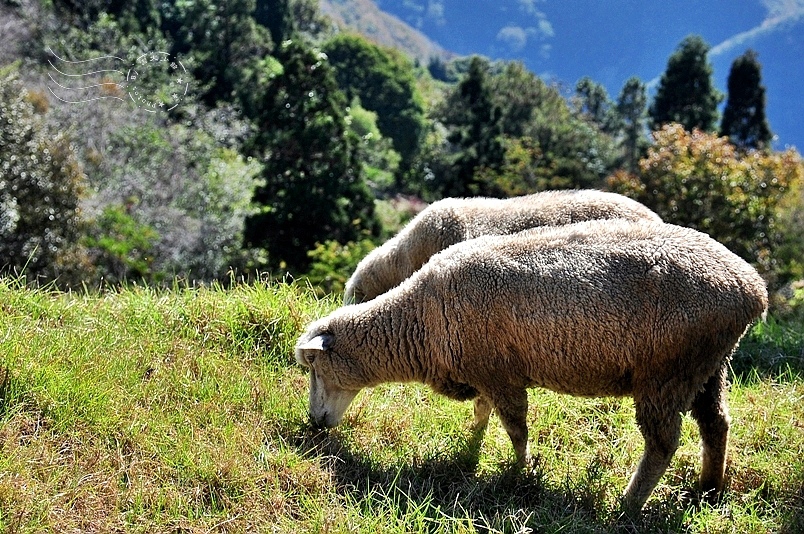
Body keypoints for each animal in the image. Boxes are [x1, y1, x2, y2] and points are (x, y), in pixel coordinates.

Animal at [296, 221, 768, 516]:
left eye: (315, 368)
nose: (314, 424)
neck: (423, 319)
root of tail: (753, 289)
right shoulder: (484, 369)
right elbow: (483, 411)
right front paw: (470, 446)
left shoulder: (499, 372)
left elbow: (515, 426)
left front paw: (519, 472)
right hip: (710, 366)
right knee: (716, 424)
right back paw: (710, 487)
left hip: (666, 372)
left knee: (663, 442)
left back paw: (628, 504)